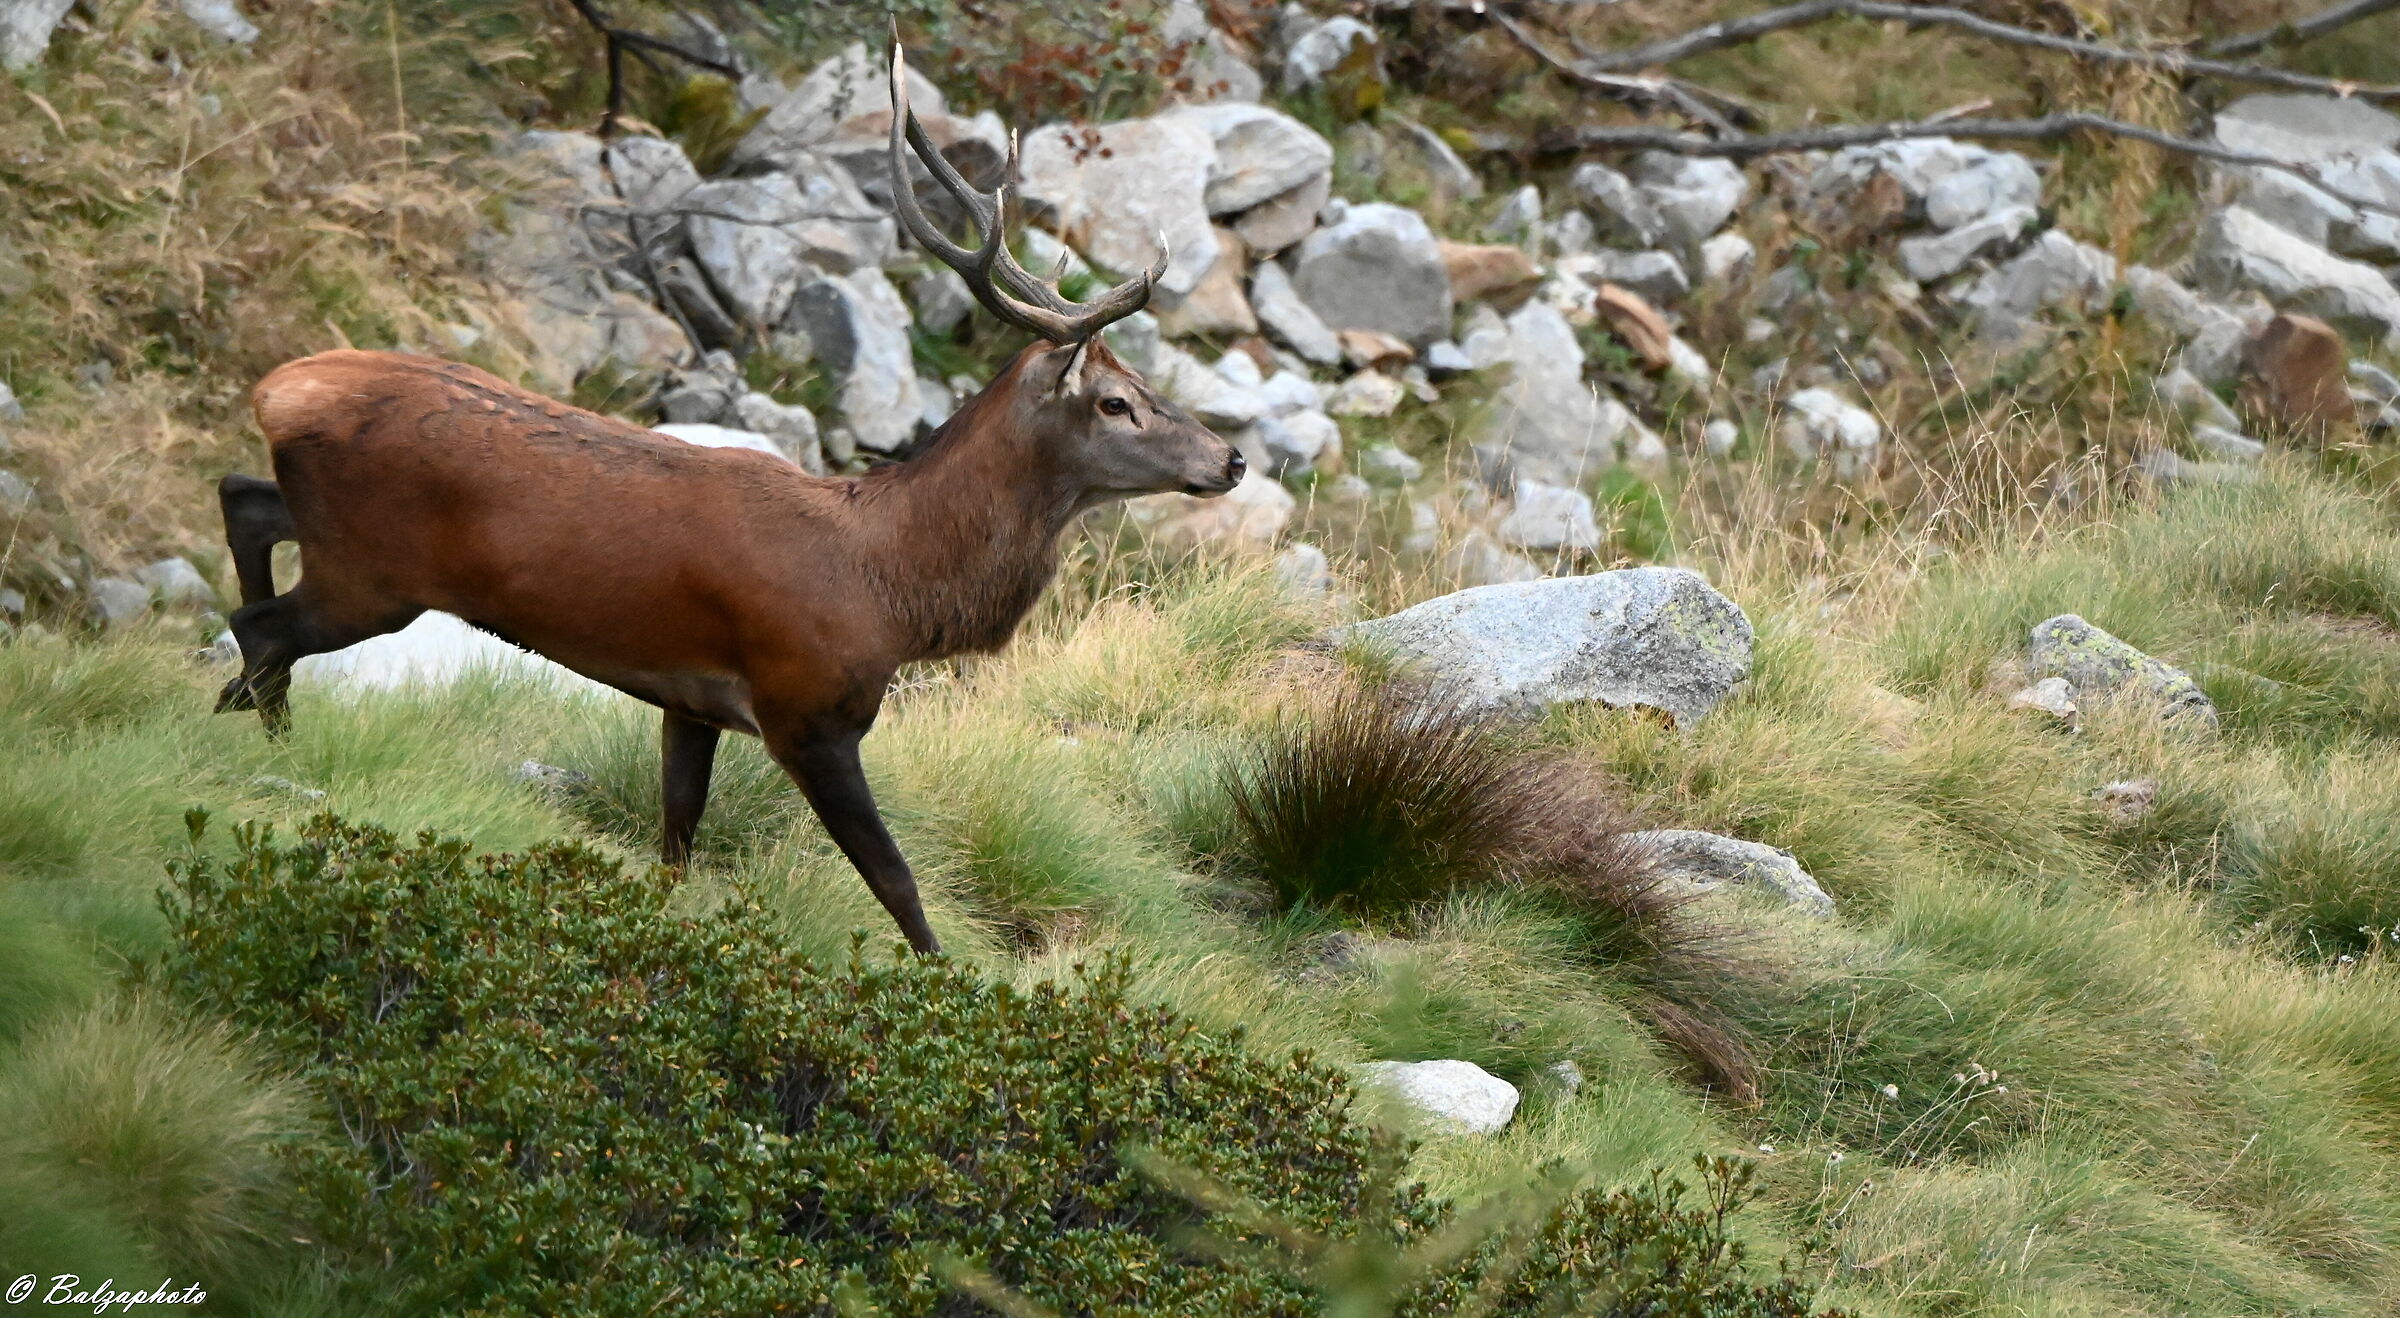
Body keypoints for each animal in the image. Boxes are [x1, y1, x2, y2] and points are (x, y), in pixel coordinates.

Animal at [209, 45, 1244, 955]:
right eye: (1115, 403)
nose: (1231, 460)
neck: (889, 584)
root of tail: (278, 389)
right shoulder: (806, 711)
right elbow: (897, 882)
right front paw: (946, 992)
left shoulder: (690, 700)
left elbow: (676, 838)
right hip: (375, 569)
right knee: (259, 622)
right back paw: (267, 745)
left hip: (336, 534)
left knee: (243, 502)